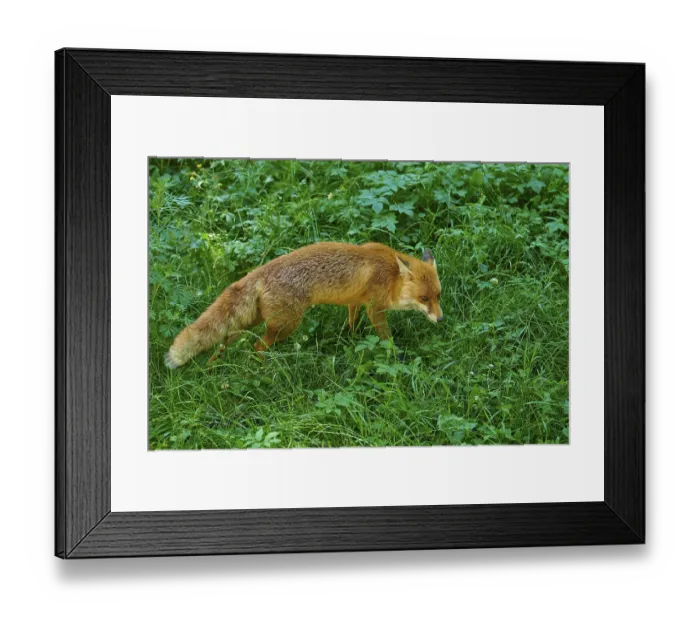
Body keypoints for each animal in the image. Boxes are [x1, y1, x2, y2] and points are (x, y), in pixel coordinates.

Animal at [165, 241, 443, 369]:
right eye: (424, 299)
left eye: (438, 295)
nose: (440, 319)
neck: (391, 278)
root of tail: (259, 272)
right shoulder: (375, 309)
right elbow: (386, 338)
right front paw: (397, 357)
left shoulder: (355, 301)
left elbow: (352, 320)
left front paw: (350, 336)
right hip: (286, 325)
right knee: (257, 346)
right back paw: (264, 368)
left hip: (254, 320)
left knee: (225, 338)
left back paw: (213, 365)